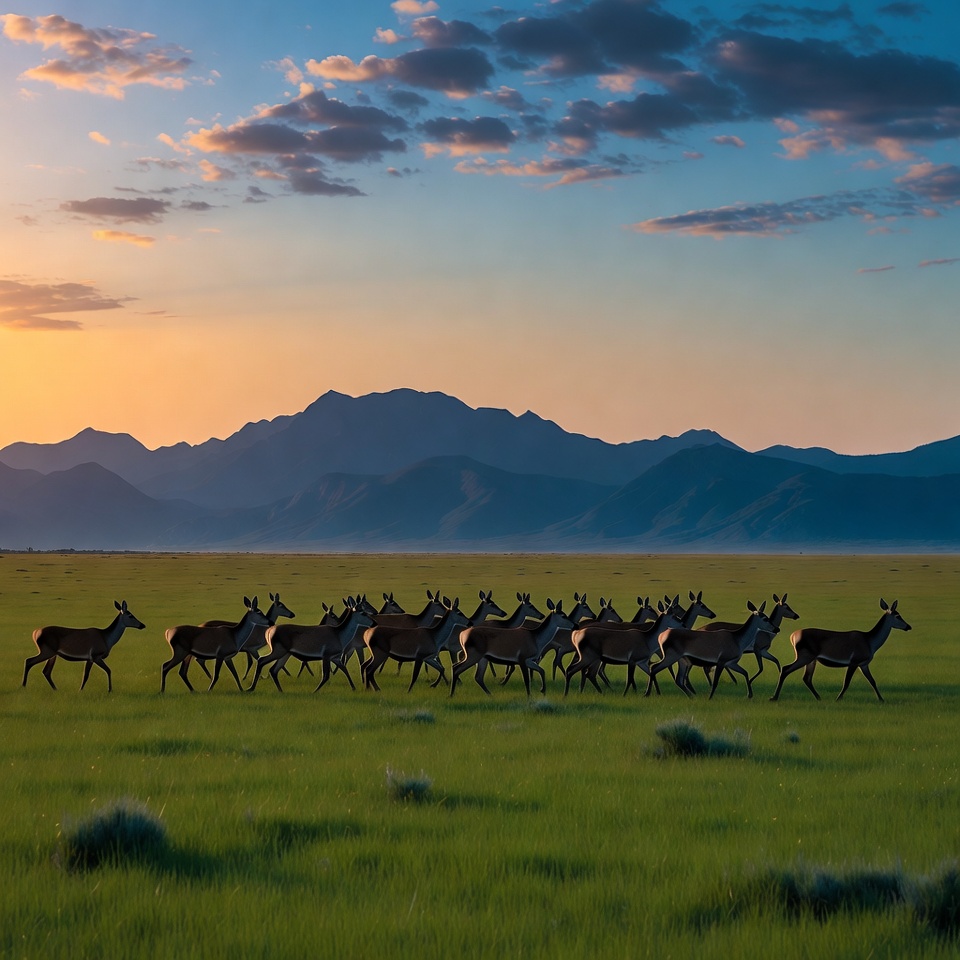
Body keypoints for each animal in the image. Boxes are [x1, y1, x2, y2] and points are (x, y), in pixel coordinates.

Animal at [645, 601, 776, 699]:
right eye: (765, 618)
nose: (777, 629)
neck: (737, 639)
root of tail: (661, 635)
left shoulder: (731, 663)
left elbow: (745, 672)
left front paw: (749, 694)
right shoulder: (721, 661)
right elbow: (715, 682)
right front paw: (710, 697)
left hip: (683, 661)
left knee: (678, 680)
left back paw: (692, 696)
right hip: (671, 657)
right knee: (654, 668)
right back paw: (648, 693)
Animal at [769, 598, 911, 702]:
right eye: (898, 616)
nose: (908, 626)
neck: (870, 643)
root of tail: (792, 636)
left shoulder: (864, 663)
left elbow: (873, 681)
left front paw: (881, 699)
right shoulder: (854, 660)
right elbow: (846, 682)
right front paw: (838, 698)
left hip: (811, 659)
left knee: (806, 678)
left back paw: (818, 697)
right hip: (804, 655)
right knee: (786, 669)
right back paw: (774, 697)